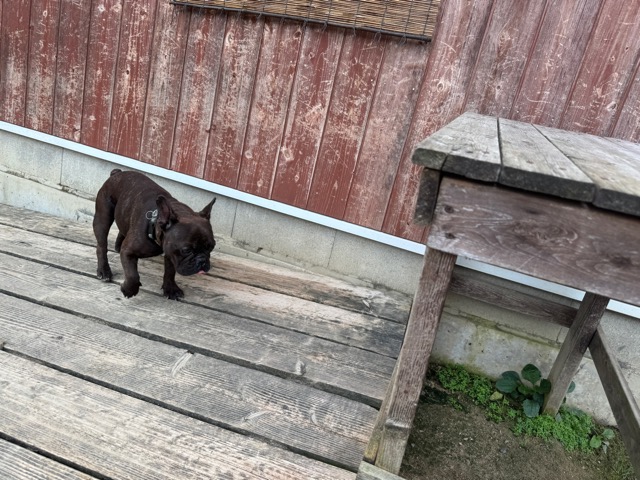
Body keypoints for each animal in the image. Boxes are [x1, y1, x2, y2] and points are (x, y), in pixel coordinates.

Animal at [93, 169, 216, 300]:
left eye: (211, 247)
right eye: (186, 250)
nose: (202, 260)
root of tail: (117, 173)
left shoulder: (170, 253)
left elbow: (170, 272)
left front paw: (170, 288)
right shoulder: (128, 252)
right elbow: (132, 275)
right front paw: (129, 290)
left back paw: (118, 245)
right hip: (103, 217)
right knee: (102, 245)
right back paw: (104, 270)